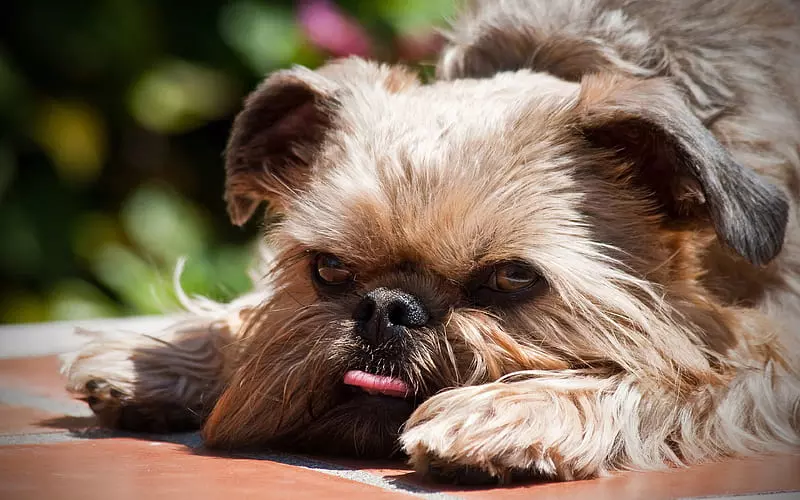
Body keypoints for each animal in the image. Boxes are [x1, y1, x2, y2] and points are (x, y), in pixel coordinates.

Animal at [64, 0, 800, 486]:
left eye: (513, 279)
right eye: (330, 269)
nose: (387, 308)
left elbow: (688, 369)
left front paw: (516, 412)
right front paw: (168, 358)